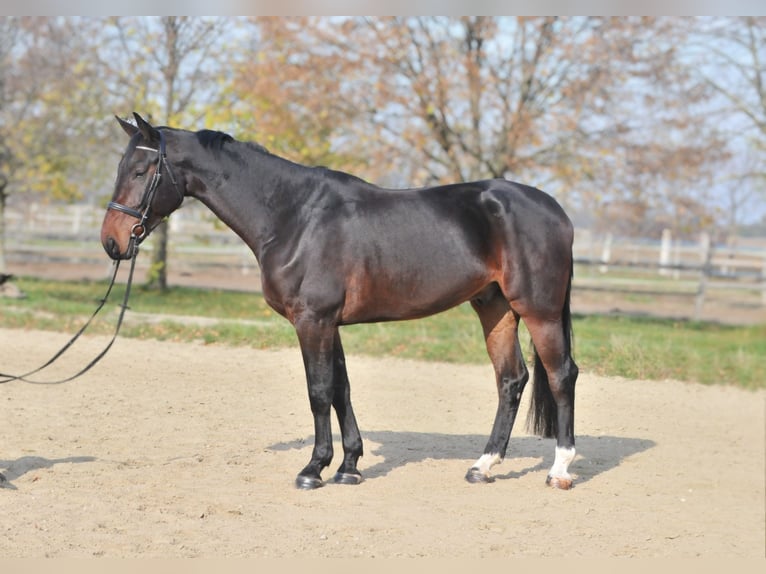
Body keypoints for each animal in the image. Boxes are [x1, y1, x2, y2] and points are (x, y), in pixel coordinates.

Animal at [102, 115, 584, 492]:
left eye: (142, 170)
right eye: (122, 167)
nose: (112, 241)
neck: (294, 216)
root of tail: (556, 210)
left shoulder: (312, 320)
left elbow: (318, 392)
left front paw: (313, 468)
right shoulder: (328, 323)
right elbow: (340, 390)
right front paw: (349, 466)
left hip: (538, 311)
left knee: (561, 375)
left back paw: (560, 469)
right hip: (495, 308)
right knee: (511, 380)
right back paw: (483, 466)